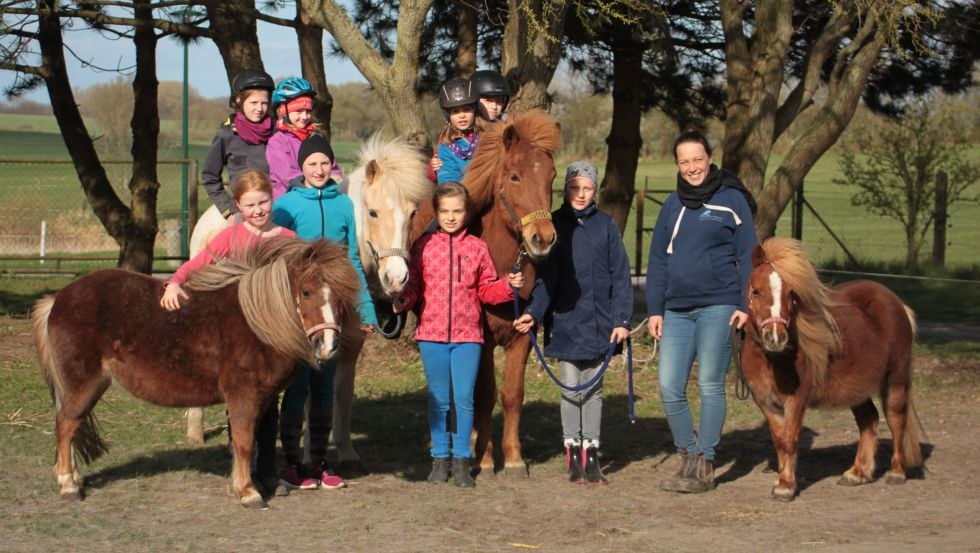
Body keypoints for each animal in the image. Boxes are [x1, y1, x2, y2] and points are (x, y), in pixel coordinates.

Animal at [34, 239, 366, 506]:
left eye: (341, 295)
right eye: (307, 292)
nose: (328, 346)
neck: (258, 322)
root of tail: (58, 299)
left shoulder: (261, 400)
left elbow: (254, 441)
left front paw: (250, 483)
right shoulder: (243, 396)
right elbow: (244, 442)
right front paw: (248, 492)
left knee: (70, 425)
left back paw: (73, 476)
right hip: (84, 384)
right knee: (65, 424)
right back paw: (68, 485)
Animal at [408, 109, 560, 474]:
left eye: (552, 175)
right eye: (515, 176)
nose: (543, 239)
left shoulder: (523, 335)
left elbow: (512, 394)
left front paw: (515, 458)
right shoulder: (484, 341)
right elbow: (485, 394)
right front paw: (486, 458)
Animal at [740, 237, 924, 500]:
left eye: (791, 293)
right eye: (756, 291)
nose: (776, 338)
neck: (772, 359)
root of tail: (896, 302)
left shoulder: (796, 400)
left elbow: (789, 439)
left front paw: (786, 486)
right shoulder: (765, 402)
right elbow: (779, 440)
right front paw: (781, 481)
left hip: (895, 379)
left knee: (896, 418)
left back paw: (896, 472)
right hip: (857, 388)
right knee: (869, 419)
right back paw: (857, 473)